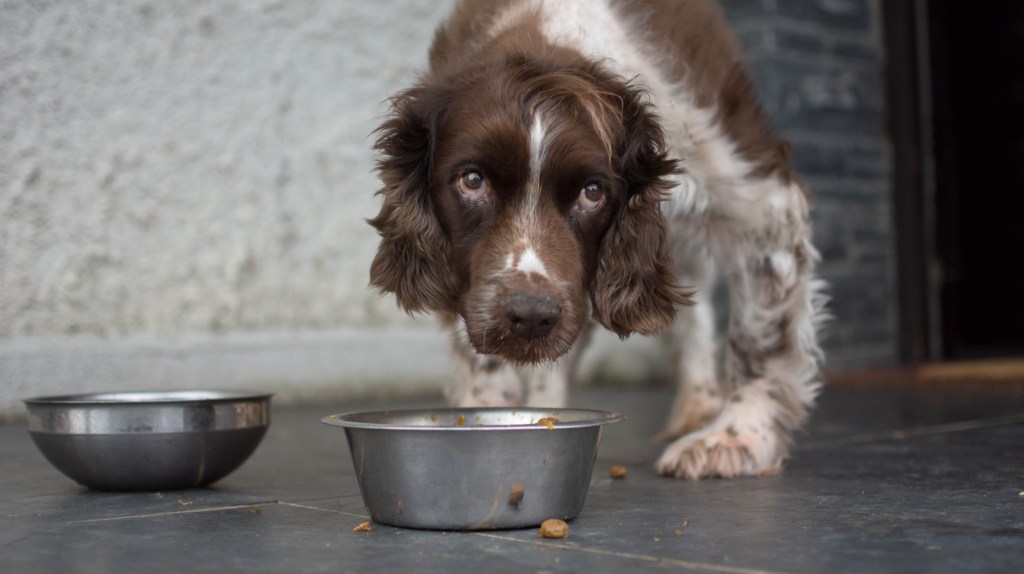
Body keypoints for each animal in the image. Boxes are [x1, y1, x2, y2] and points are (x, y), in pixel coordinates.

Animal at [366, 0, 823, 478]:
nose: (532, 315)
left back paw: (700, 407)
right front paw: (485, 411)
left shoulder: (758, 194)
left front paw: (737, 436)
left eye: (593, 192)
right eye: (472, 181)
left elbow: (761, 336)